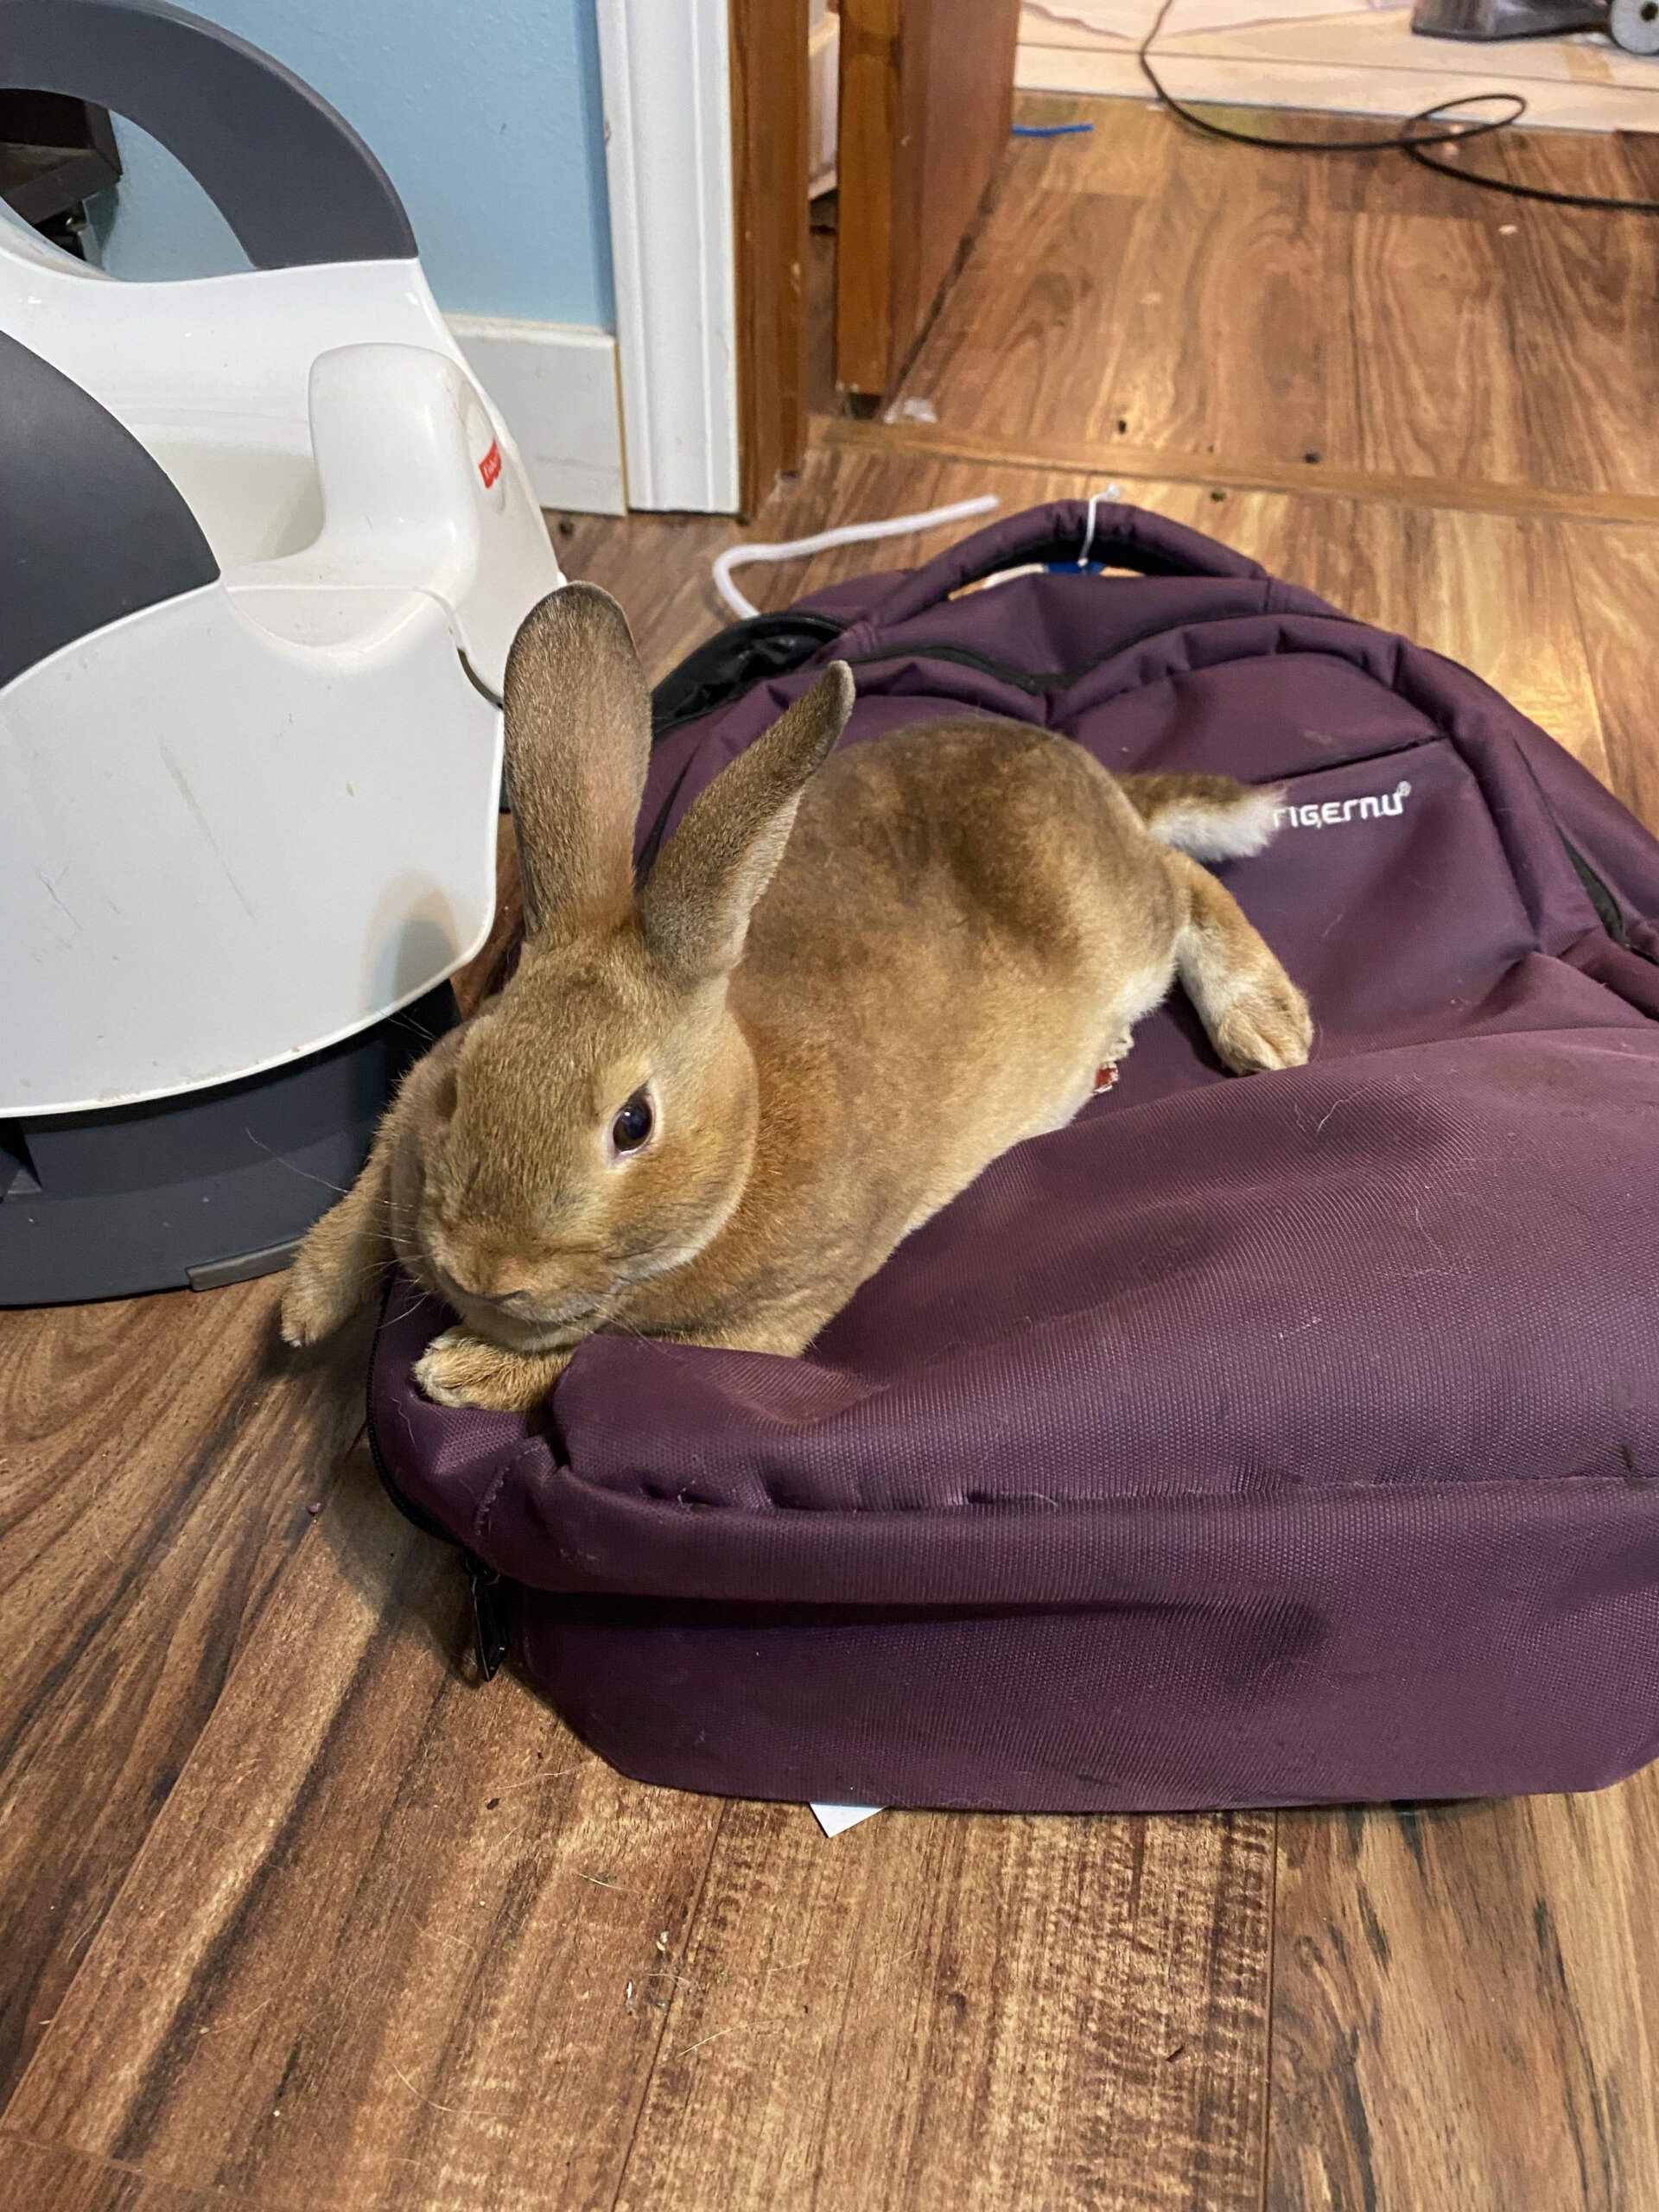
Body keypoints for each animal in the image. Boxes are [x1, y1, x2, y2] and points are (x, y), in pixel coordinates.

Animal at [281, 582, 1311, 1410]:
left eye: (632, 1124)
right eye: (464, 1080)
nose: (486, 1270)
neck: (745, 1133)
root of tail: (1094, 776)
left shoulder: (767, 1319)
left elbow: (597, 1355)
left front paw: (459, 1371)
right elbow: (371, 1186)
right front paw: (303, 1305)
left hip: (1124, 930)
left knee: (1183, 882)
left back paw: (1267, 1027)